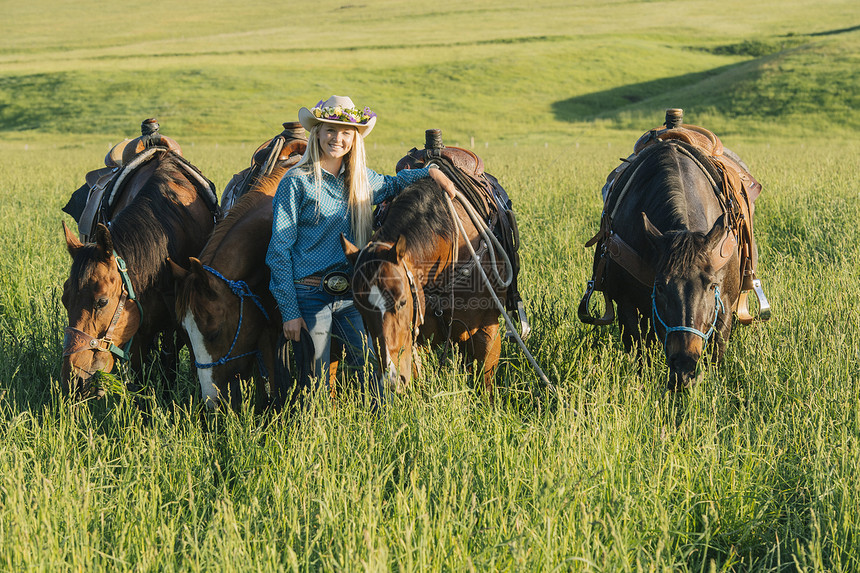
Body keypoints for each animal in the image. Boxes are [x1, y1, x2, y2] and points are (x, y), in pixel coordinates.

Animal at [61, 147, 218, 398]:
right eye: (64, 300)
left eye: (102, 301)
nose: (73, 381)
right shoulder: (137, 328)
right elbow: (139, 377)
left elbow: (176, 362)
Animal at [576, 118, 764, 392]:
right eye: (661, 287)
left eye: (711, 286)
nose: (684, 364)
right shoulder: (625, 303)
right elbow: (638, 352)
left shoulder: (726, 303)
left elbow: (718, 351)